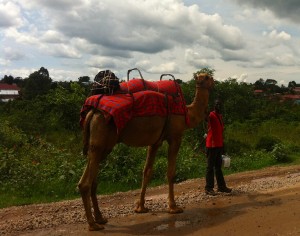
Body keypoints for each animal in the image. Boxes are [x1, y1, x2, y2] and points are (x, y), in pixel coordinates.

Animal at [77, 72, 213, 230]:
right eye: (208, 77)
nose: (214, 81)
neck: (188, 114)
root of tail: (92, 112)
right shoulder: (175, 136)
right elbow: (171, 172)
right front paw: (173, 207)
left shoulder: (155, 141)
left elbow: (147, 171)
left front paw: (140, 207)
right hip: (101, 138)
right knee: (85, 183)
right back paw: (93, 224)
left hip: (102, 144)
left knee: (93, 179)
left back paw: (100, 218)